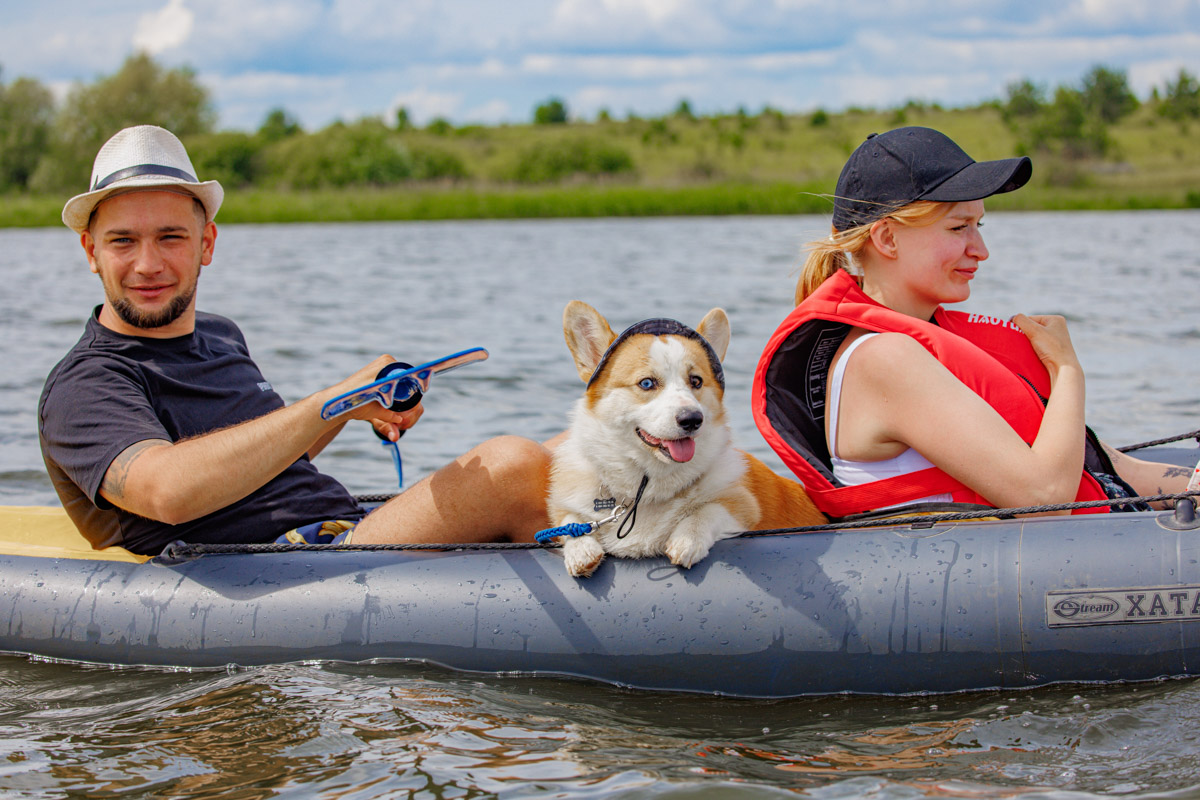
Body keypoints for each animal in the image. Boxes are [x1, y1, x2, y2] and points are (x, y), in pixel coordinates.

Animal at [544, 303, 825, 578]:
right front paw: (582, 551)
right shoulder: (568, 506)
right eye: (647, 383)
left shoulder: (743, 505)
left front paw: (687, 540)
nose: (692, 419)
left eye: (696, 381)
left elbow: (708, 510)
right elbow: (570, 522)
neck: (645, 489)